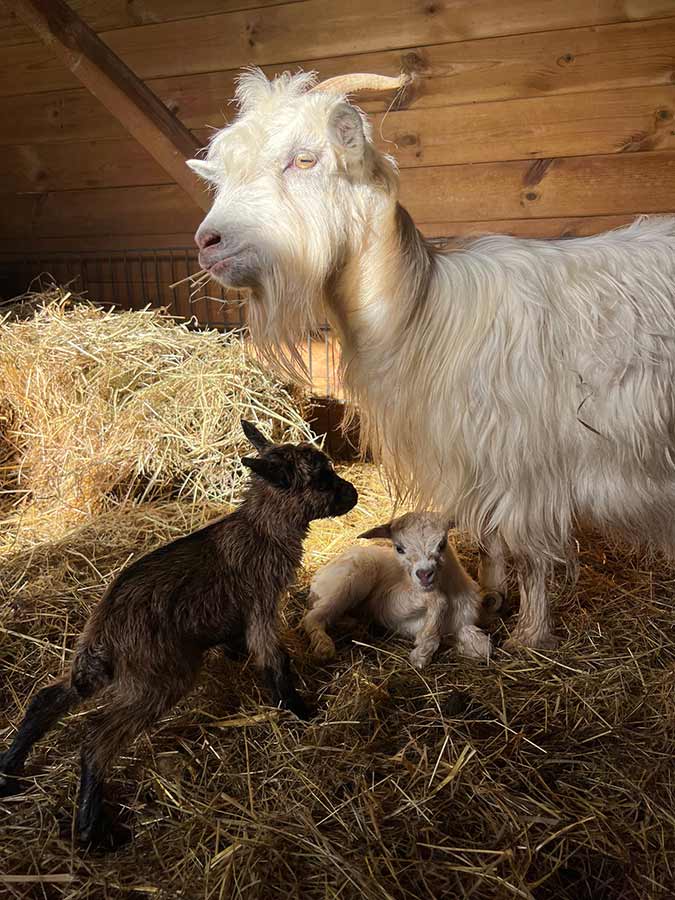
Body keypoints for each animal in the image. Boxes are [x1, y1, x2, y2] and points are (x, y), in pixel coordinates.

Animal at [0, 420, 357, 848]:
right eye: (321, 478)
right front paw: (299, 710)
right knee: (96, 740)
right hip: (160, 677)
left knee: (47, 699)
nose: (353, 494)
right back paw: (92, 828)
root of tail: (106, 630)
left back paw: (9, 769)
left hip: (105, 670)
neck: (262, 529)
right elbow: (274, 660)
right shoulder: (261, 605)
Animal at [187, 69, 675, 650]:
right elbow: (491, 540)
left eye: (304, 159)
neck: (423, 313)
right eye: (220, 175)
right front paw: (492, 598)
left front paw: (530, 635)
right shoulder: (475, 457)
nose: (208, 242)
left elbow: (529, 551)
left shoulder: (525, 459)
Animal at [303, 512, 497, 668]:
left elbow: (484, 648)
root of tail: (319, 574)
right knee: (311, 617)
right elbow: (438, 599)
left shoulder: (463, 621)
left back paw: (351, 624)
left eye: (442, 544)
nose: (424, 574)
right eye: (399, 548)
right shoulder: (386, 605)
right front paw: (422, 650)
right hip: (354, 575)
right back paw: (324, 647)